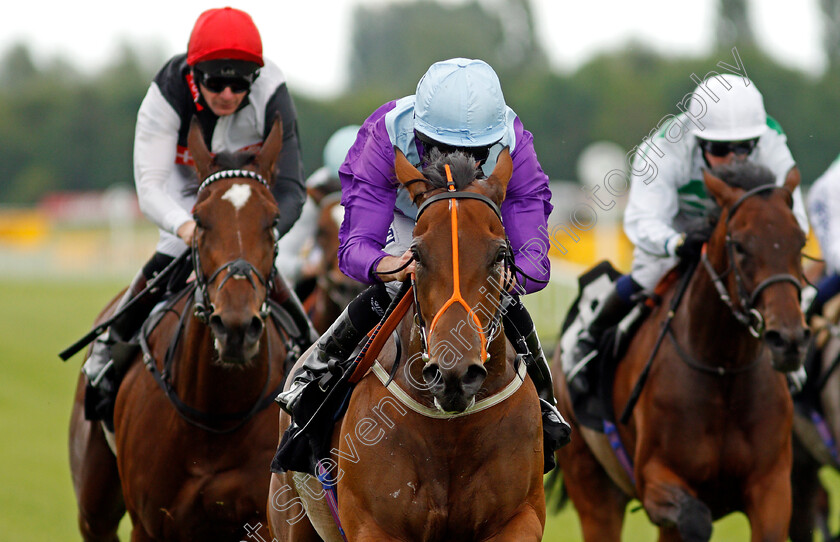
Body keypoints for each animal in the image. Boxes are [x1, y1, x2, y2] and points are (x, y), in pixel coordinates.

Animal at [69, 117, 292, 540]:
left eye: (273, 220)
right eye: (200, 219)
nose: (236, 327)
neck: (217, 416)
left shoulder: (262, 518)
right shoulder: (150, 523)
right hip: (94, 504)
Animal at [556, 164, 812, 540]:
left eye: (801, 241)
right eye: (739, 245)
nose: (789, 339)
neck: (722, 369)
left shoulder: (772, 487)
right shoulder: (654, 479)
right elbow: (695, 518)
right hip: (592, 487)